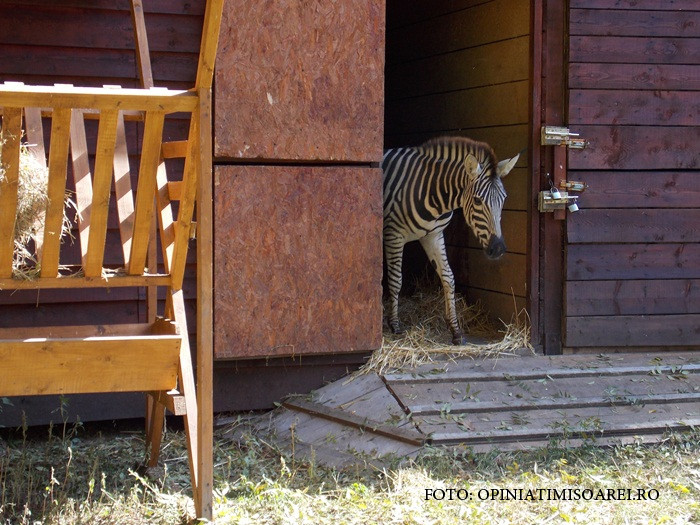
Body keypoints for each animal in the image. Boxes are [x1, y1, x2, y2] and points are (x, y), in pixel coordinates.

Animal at [382, 136, 520, 345]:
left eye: (504, 199)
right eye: (478, 201)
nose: (498, 249)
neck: (432, 190)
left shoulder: (434, 235)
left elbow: (448, 277)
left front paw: (455, 330)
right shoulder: (393, 235)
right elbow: (396, 280)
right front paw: (395, 325)